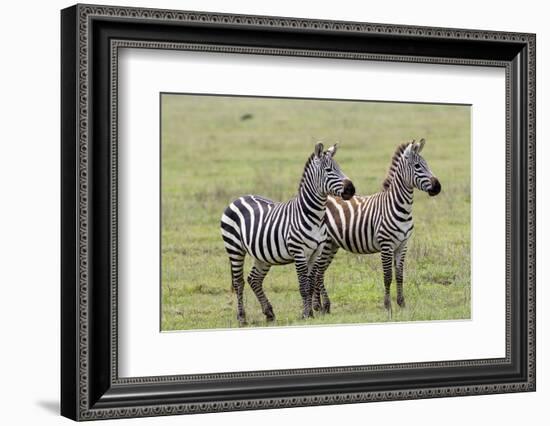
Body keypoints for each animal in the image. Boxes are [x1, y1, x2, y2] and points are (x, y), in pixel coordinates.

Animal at [221, 141, 358, 324]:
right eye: (329, 170)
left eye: (339, 168)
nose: (351, 189)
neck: (314, 216)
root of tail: (239, 198)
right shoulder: (299, 252)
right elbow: (304, 286)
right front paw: (306, 314)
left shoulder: (316, 252)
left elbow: (311, 283)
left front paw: (310, 313)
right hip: (234, 248)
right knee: (239, 282)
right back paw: (242, 318)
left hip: (262, 255)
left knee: (254, 279)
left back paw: (269, 313)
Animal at [312, 139, 442, 312]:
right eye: (417, 166)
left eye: (426, 164)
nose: (438, 187)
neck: (399, 206)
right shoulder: (386, 245)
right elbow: (387, 276)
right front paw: (388, 306)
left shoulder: (402, 245)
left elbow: (399, 275)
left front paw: (402, 303)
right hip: (325, 245)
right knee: (317, 272)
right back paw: (320, 306)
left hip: (332, 245)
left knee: (318, 272)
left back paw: (320, 306)